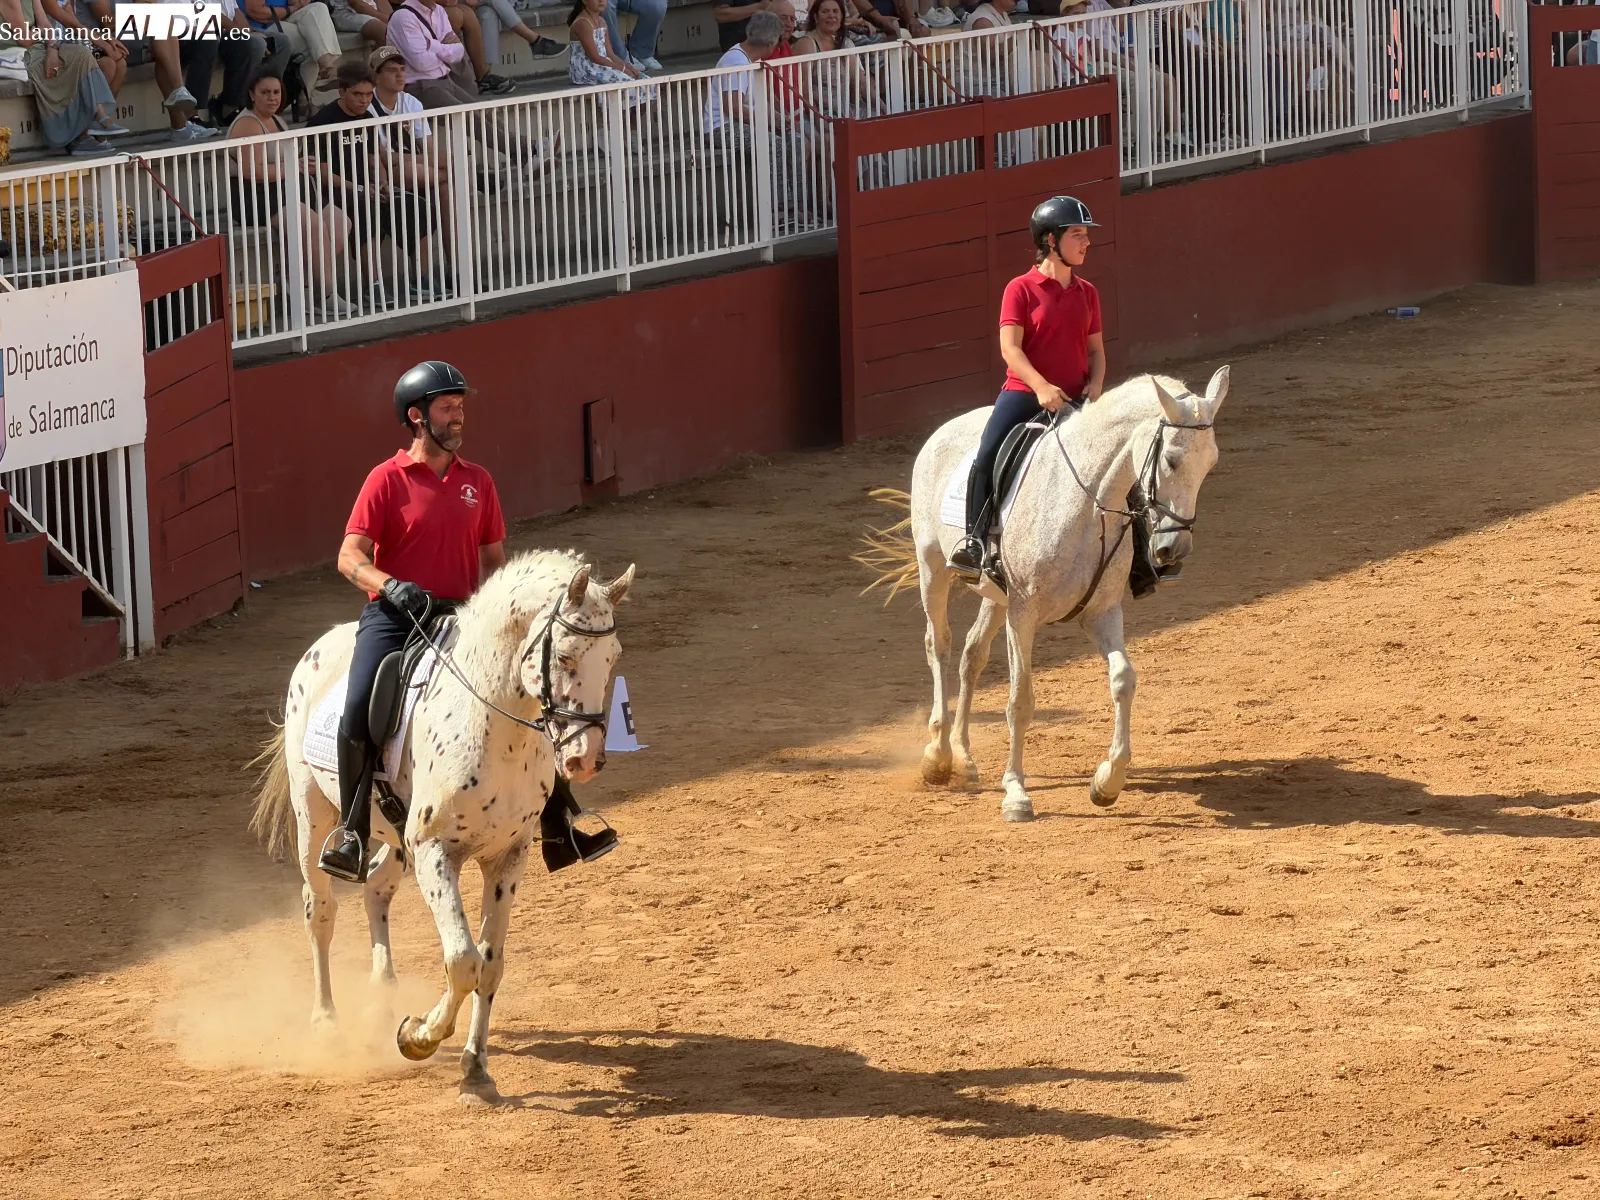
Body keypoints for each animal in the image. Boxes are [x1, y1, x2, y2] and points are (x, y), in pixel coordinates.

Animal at [250, 549, 634, 1102]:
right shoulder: (435, 852)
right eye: (563, 657)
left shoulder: (507, 856)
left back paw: (380, 999)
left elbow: (490, 965)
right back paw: (326, 1020)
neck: (496, 727)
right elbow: (462, 961)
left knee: (376, 891)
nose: (584, 760)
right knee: (318, 909)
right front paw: (418, 1037)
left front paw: (475, 1069)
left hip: (394, 839)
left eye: (614, 657)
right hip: (314, 818)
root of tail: (323, 643)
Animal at [857, 369, 1228, 822]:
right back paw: (938, 756)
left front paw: (1107, 782)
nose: (1173, 551)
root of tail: (945, 429)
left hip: (994, 596)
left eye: (1210, 463)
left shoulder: (1102, 612)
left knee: (971, 654)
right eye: (1172, 458)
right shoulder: (1023, 615)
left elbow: (1123, 680)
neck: (1088, 503)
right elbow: (1020, 700)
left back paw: (964, 756)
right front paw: (1016, 794)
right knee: (939, 646)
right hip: (934, 570)